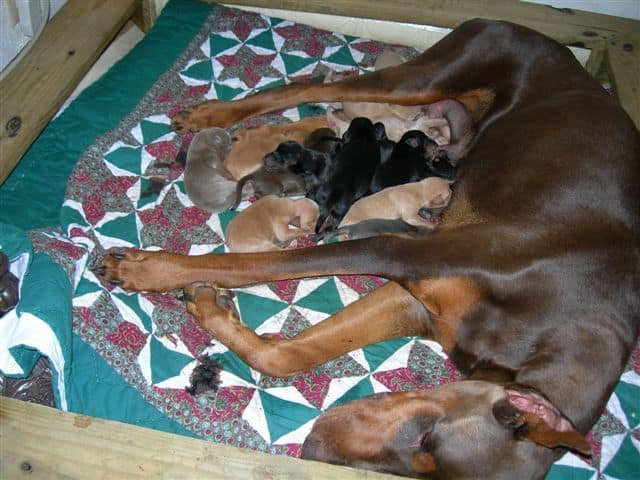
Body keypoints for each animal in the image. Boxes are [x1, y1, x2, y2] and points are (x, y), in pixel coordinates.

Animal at [96, 20, 640, 480]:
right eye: (425, 436)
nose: (314, 447)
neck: (549, 328)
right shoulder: (412, 252)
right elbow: (252, 266)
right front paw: (151, 270)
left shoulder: (423, 305)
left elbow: (286, 356)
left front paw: (211, 306)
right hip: (431, 74)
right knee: (313, 90)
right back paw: (212, 113)